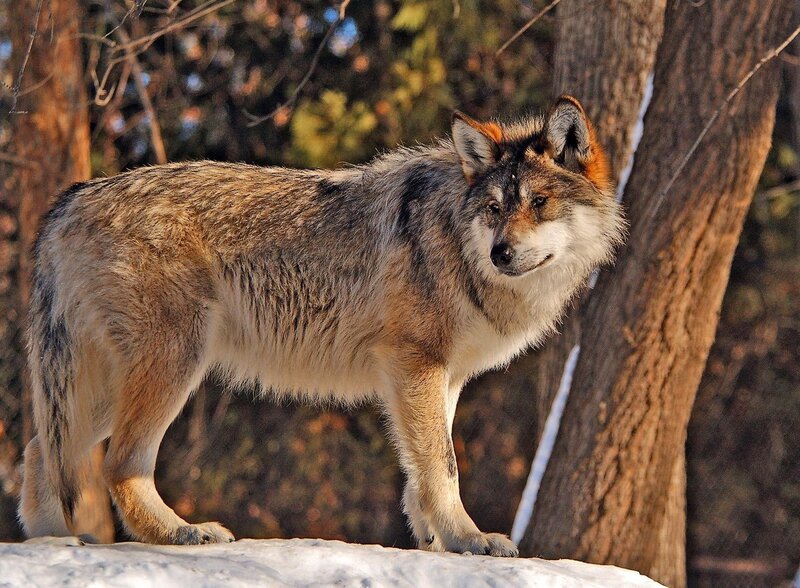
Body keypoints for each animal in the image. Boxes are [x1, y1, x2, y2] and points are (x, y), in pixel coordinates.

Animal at [19, 95, 624, 556]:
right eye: (496, 208)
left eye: (539, 203)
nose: (500, 253)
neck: (454, 241)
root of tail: (71, 200)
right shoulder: (415, 364)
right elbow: (443, 466)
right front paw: (469, 540)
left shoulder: (438, 377)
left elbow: (422, 472)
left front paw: (434, 543)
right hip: (172, 366)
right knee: (118, 465)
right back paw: (182, 534)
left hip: (108, 388)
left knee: (39, 450)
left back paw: (52, 545)